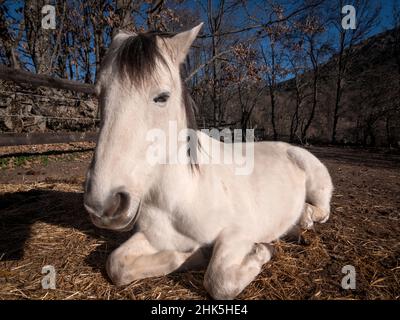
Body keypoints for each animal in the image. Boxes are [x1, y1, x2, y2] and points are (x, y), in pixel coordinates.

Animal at [83, 24, 332, 300]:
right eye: (98, 94)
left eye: (162, 97)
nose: (104, 204)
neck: (184, 195)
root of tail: (288, 147)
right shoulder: (154, 237)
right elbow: (116, 264)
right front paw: (194, 255)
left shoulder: (239, 233)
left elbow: (219, 281)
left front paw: (263, 250)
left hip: (316, 183)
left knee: (322, 211)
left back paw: (304, 219)